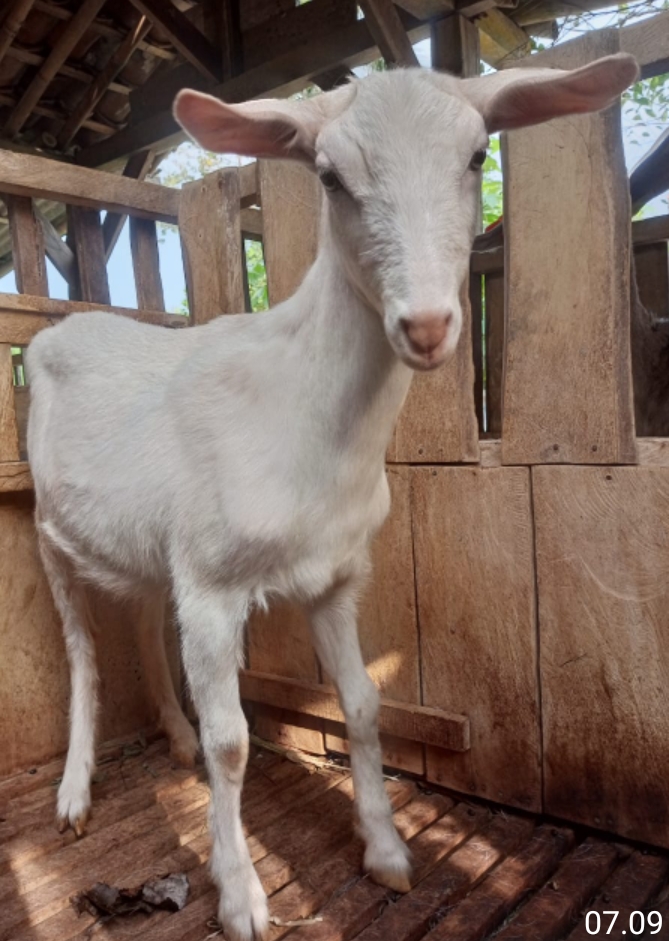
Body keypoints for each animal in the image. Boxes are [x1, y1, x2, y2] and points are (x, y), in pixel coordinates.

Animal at [27, 56, 638, 941]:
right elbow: (234, 742)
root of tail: (64, 324)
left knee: (139, 620)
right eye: (329, 176)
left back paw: (171, 738)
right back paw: (74, 791)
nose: (426, 326)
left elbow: (362, 704)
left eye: (475, 156)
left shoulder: (336, 576)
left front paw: (385, 851)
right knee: (80, 652)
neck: (301, 414)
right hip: (46, 530)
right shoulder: (209, 585)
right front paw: (240, 896)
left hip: (140, 546)